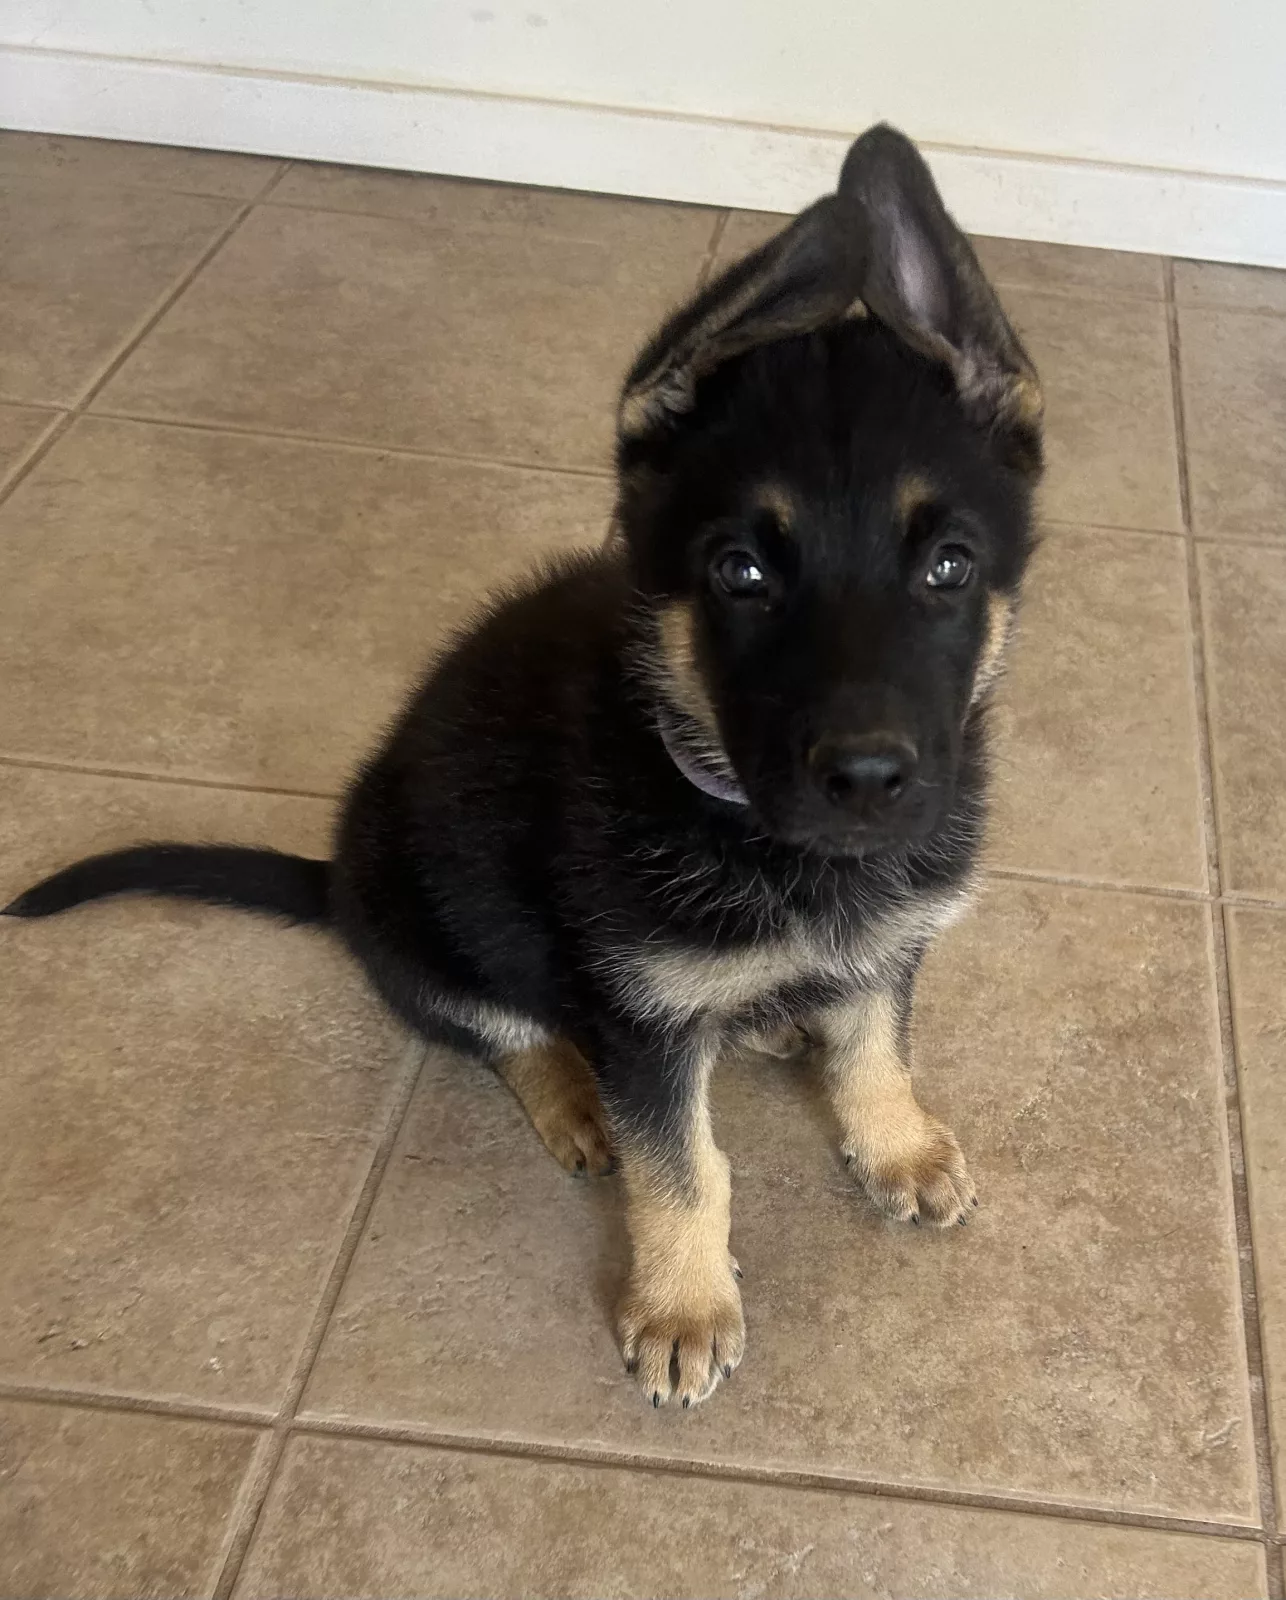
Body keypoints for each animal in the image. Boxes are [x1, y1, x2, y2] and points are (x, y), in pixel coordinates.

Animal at [4, 125, 1042, 1410]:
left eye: (950, 566)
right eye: (739, 573)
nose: (866, 781)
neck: (740, 817)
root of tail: (335, 875)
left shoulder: (887, 942)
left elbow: (873, 1043)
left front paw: (892, 1138)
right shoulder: (640, 1017)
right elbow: (681, 1165)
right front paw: (682, 1303)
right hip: (427, 918)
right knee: (502, 1029)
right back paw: (577, 1097)